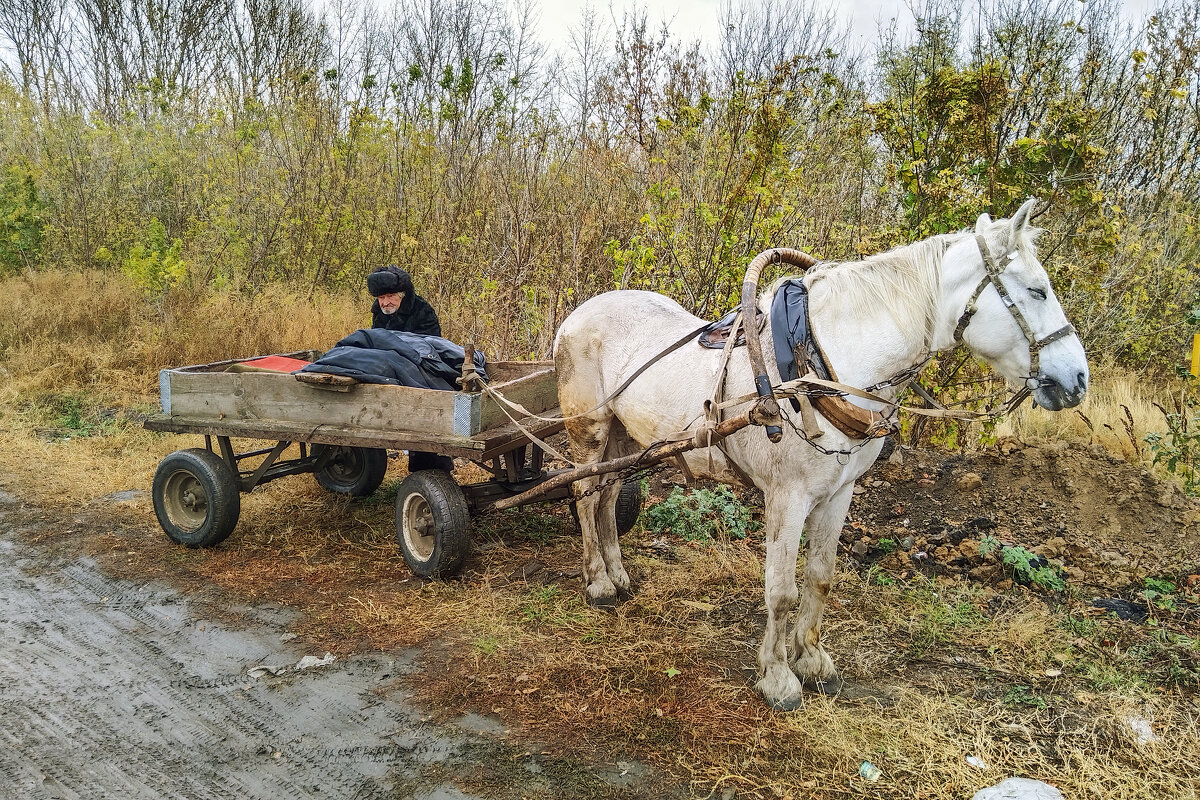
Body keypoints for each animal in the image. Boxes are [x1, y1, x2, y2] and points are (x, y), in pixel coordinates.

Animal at [552, 203, 1089, 710]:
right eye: (1037, 291)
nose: (1078, 380)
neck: (822, 367)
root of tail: (577, 315)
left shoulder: (839, 492)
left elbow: (820, 577)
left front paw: (811, 659)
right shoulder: (787, 498)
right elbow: (781, 589)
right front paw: (778, 678)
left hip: (626, 438)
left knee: (609, 497)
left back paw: (618, 575)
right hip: (589, 431)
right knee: (584, 495)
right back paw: (598, 583)